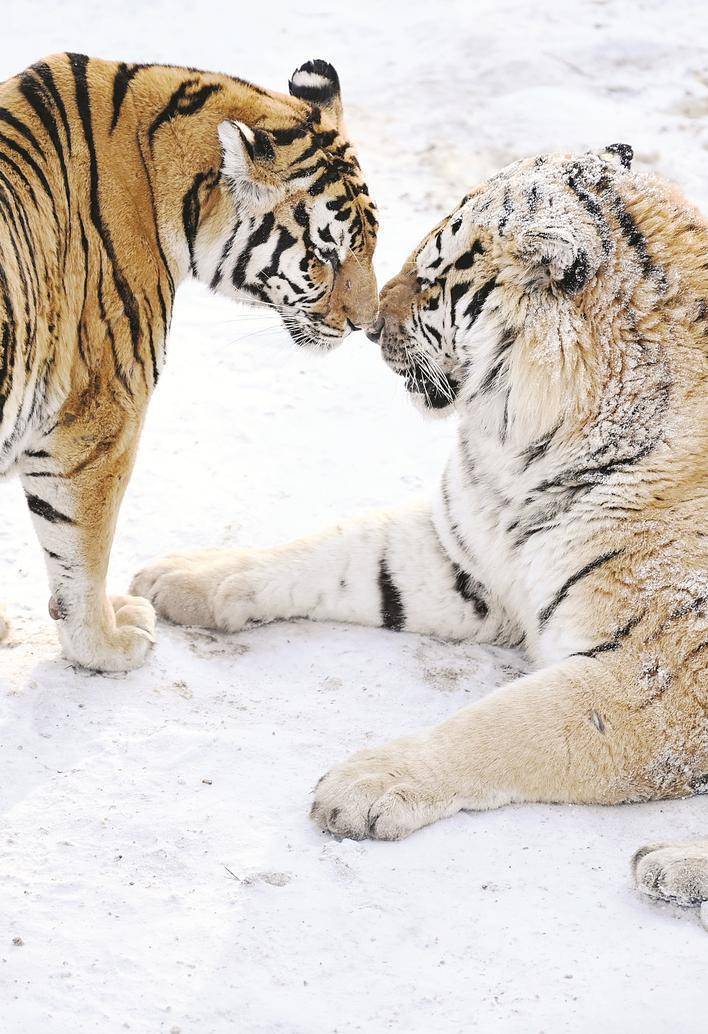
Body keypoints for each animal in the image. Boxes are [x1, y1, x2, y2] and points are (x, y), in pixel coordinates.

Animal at [0, 54, 376, 670]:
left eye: (369, 244)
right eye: (325, 253)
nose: (366, 324)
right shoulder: (98, 423)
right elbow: (82, 553)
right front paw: (105, 645)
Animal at [136, 147, 706, 922]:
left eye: (435, 281)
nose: (371, 325)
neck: (526, 452)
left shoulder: (656, 681)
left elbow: (505, 725)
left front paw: (365, 785)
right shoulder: (463, 554)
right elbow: (331, 552)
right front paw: (179, 576)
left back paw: (668, 864)